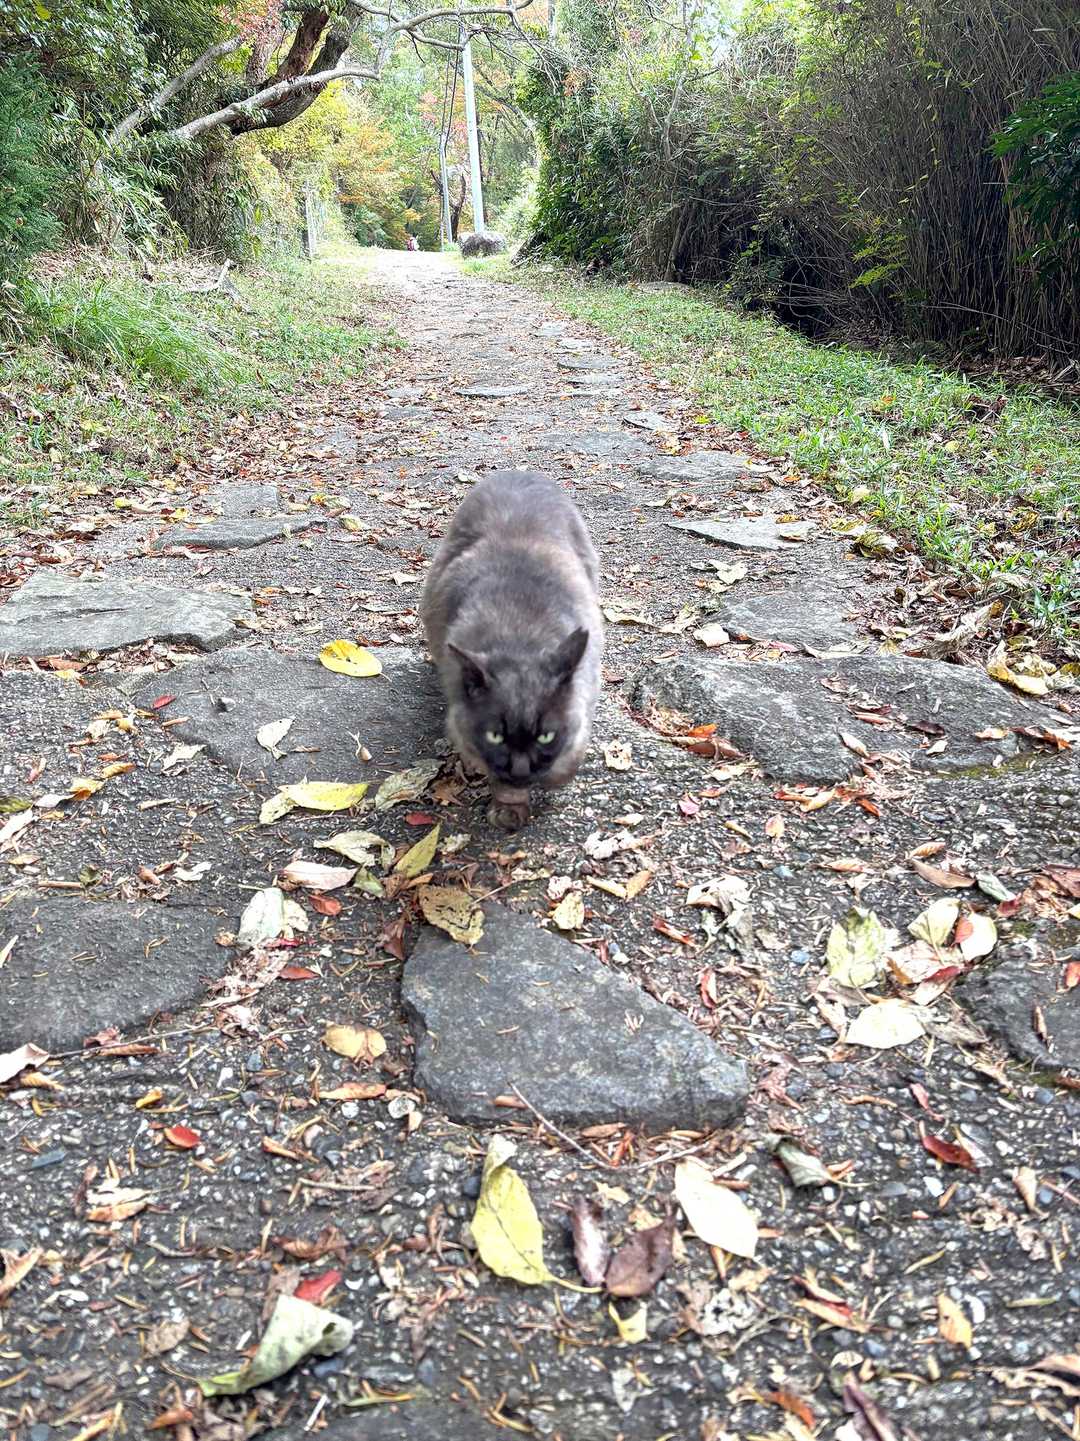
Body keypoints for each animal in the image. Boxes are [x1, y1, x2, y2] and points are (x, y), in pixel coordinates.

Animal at [421, 469, 603, 830]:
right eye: (496, 736)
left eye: (545, 736)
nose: (521, 769)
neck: (520, 635)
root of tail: (519, 472)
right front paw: (510, 805)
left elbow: (573, 747)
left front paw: (554, 777)